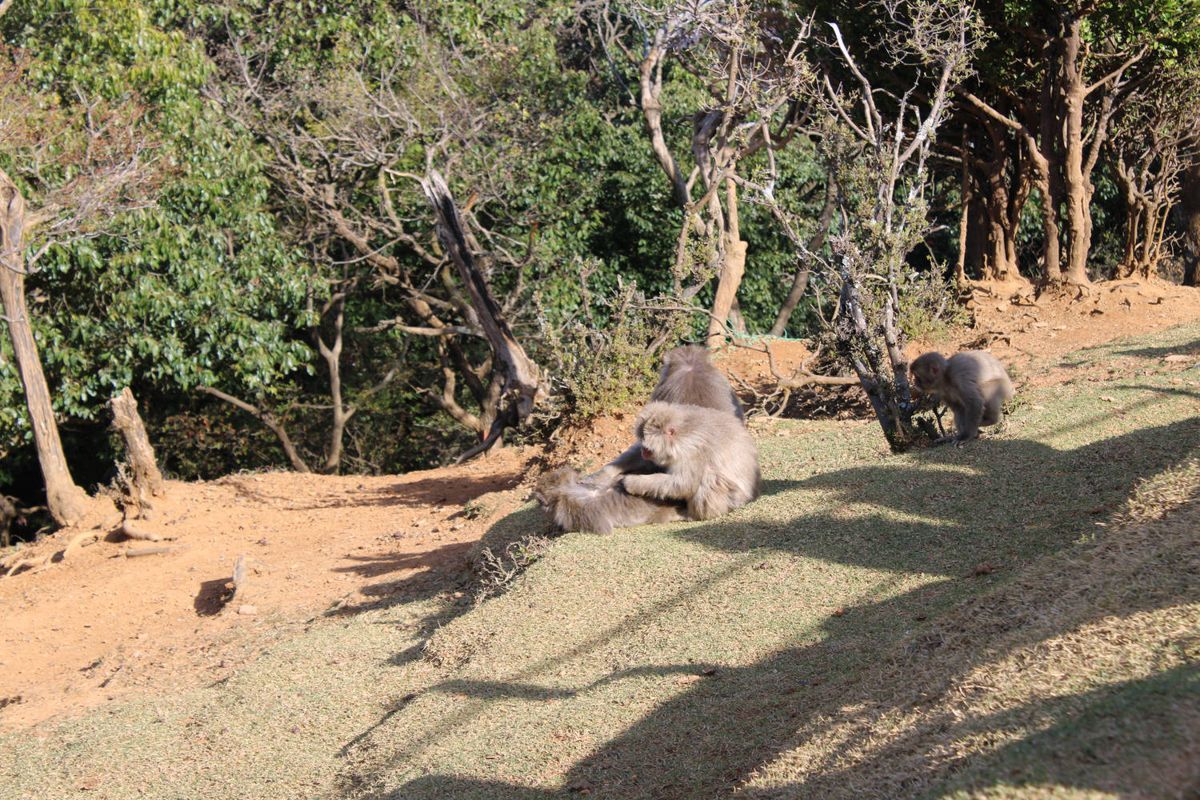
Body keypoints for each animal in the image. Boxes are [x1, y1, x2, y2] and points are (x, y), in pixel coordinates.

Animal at [620, 401, 761, 521]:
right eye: (643, 447)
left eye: (647, 449)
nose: (643, 452)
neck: (681, 435)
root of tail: (751, 497)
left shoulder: (691, 452)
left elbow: (683, 483)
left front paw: (633, 482)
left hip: (733, 499)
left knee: (708, 478)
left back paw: (693, 515)